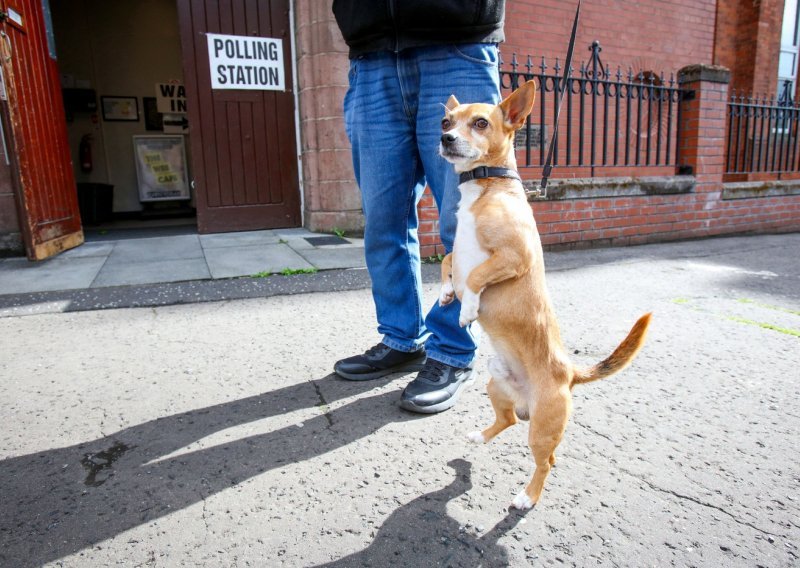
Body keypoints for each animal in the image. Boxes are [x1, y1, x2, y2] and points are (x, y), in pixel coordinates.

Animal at [438, 80, 648, 510]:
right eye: (446, 121)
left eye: (480, 123)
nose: (444, 138)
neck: (486, 187)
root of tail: (570, 373)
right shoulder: (458, 250)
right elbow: (449, 260)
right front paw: (447, 292)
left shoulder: (512, 257)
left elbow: (477, 275)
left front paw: (467, 308)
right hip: (496, 386)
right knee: (506, 421)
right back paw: (479, 436)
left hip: (542, 430)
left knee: (545, 462)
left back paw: (527, 497)